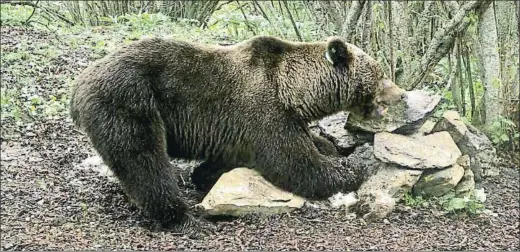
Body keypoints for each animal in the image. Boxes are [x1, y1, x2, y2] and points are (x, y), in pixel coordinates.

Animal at [69, 34, 404, 235]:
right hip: (129, 102)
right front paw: (354, 167)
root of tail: (79, 83)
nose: (400, 94)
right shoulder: (262, 113)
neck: (293, 92)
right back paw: (184, 218)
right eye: (380, 74)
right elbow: (296, 164)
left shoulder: (238, 130)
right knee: (143, 162)